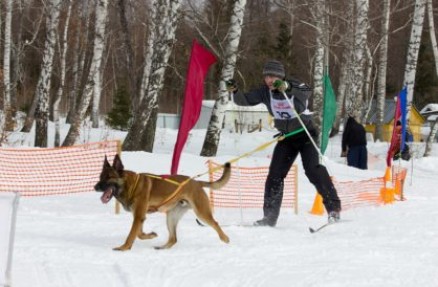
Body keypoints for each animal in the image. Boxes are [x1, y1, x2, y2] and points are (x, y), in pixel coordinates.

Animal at [94, 154, 231, 251]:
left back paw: (225, 238)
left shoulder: (138, 216)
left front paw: (124, 248)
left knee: (215, 223)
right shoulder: (139, 216)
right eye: (100, 177)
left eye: (109, 177)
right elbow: (139, 233)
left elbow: (132, 234)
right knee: (173, 239)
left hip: (201, 213)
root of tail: (196, 182)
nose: (95, 187)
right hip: (171, 217)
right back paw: (162, 247)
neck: (131, 185)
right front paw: (150, 235)